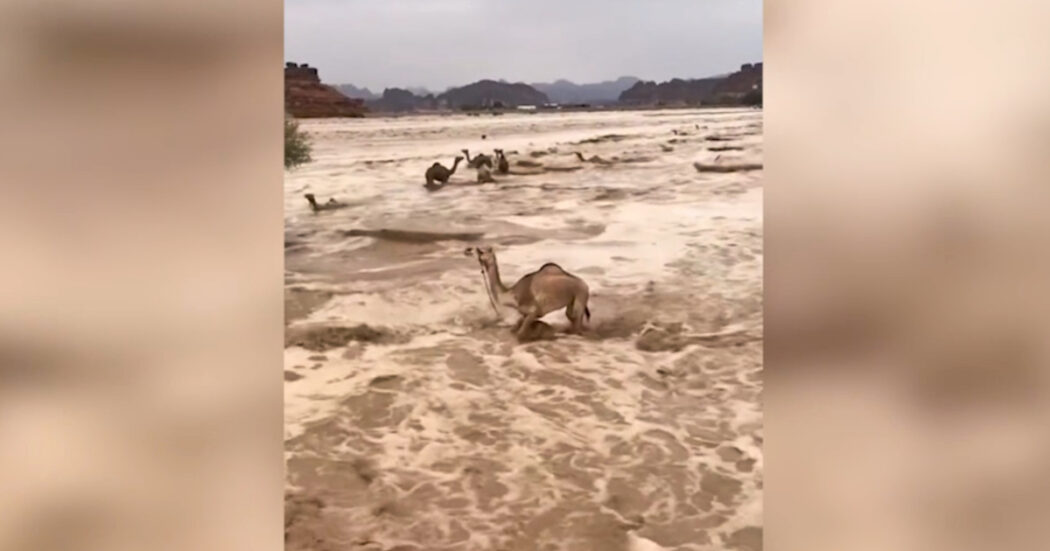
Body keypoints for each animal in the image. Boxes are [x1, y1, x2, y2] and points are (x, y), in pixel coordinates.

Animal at [461, 243, 592, 335]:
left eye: (480, 250)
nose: (467, 250)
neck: (513, 296)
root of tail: (585, 284)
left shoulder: (533, 311)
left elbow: (520, 333)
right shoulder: (526, 315)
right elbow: (515, 328)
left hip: (580, 297)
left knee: (577, 323)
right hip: (572, 302)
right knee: (570, 316)